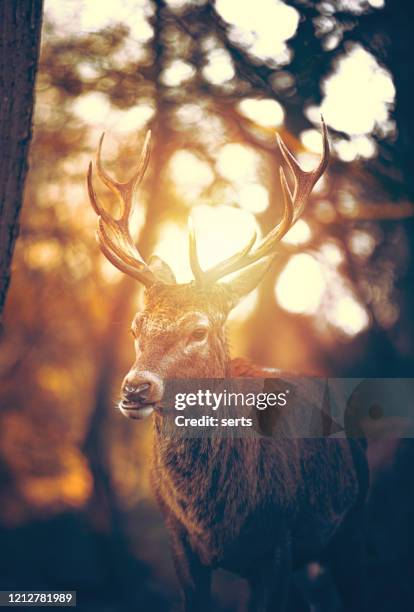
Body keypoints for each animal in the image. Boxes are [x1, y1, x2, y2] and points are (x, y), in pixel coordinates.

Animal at [85, 120, 368, 612]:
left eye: (199, 330)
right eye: (136, 326)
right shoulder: (179, 543)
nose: (135, 388)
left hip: (352, 530)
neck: (216, 519)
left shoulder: (279, 543)